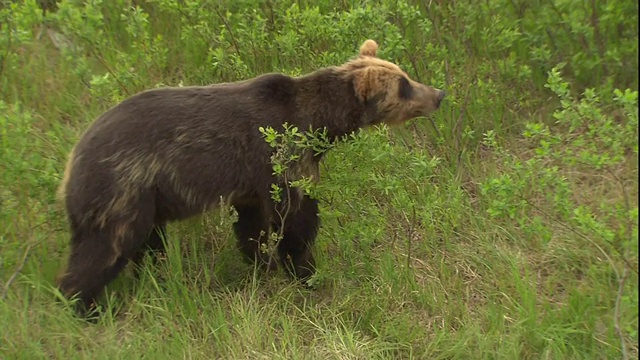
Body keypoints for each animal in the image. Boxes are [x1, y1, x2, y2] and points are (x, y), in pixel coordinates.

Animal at [56, 38, 444, 316]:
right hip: (122, 185)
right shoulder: (282, 155)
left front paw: (262, 264)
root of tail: (73, 158)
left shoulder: (248, 182)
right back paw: (83, 305)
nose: (438, 94)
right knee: (106, 245)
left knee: (148, 245)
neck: (320, 123)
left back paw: (155, 279)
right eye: (404, 85)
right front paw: (306, 271)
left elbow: (251, 226)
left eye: (404, 74)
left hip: (147, 197)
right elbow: (295, 217)